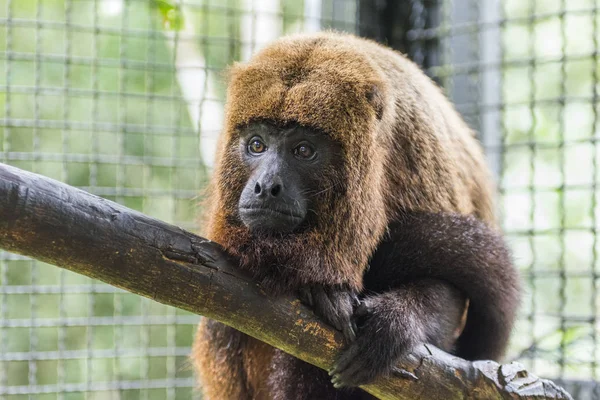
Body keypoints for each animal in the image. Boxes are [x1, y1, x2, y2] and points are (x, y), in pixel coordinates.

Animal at [191, 32, 520, 400]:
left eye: (304, 150)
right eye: (257, 145)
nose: (266, 186)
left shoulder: (423, 163)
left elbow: (451, 298)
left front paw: (395, 323)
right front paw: (323, 291)